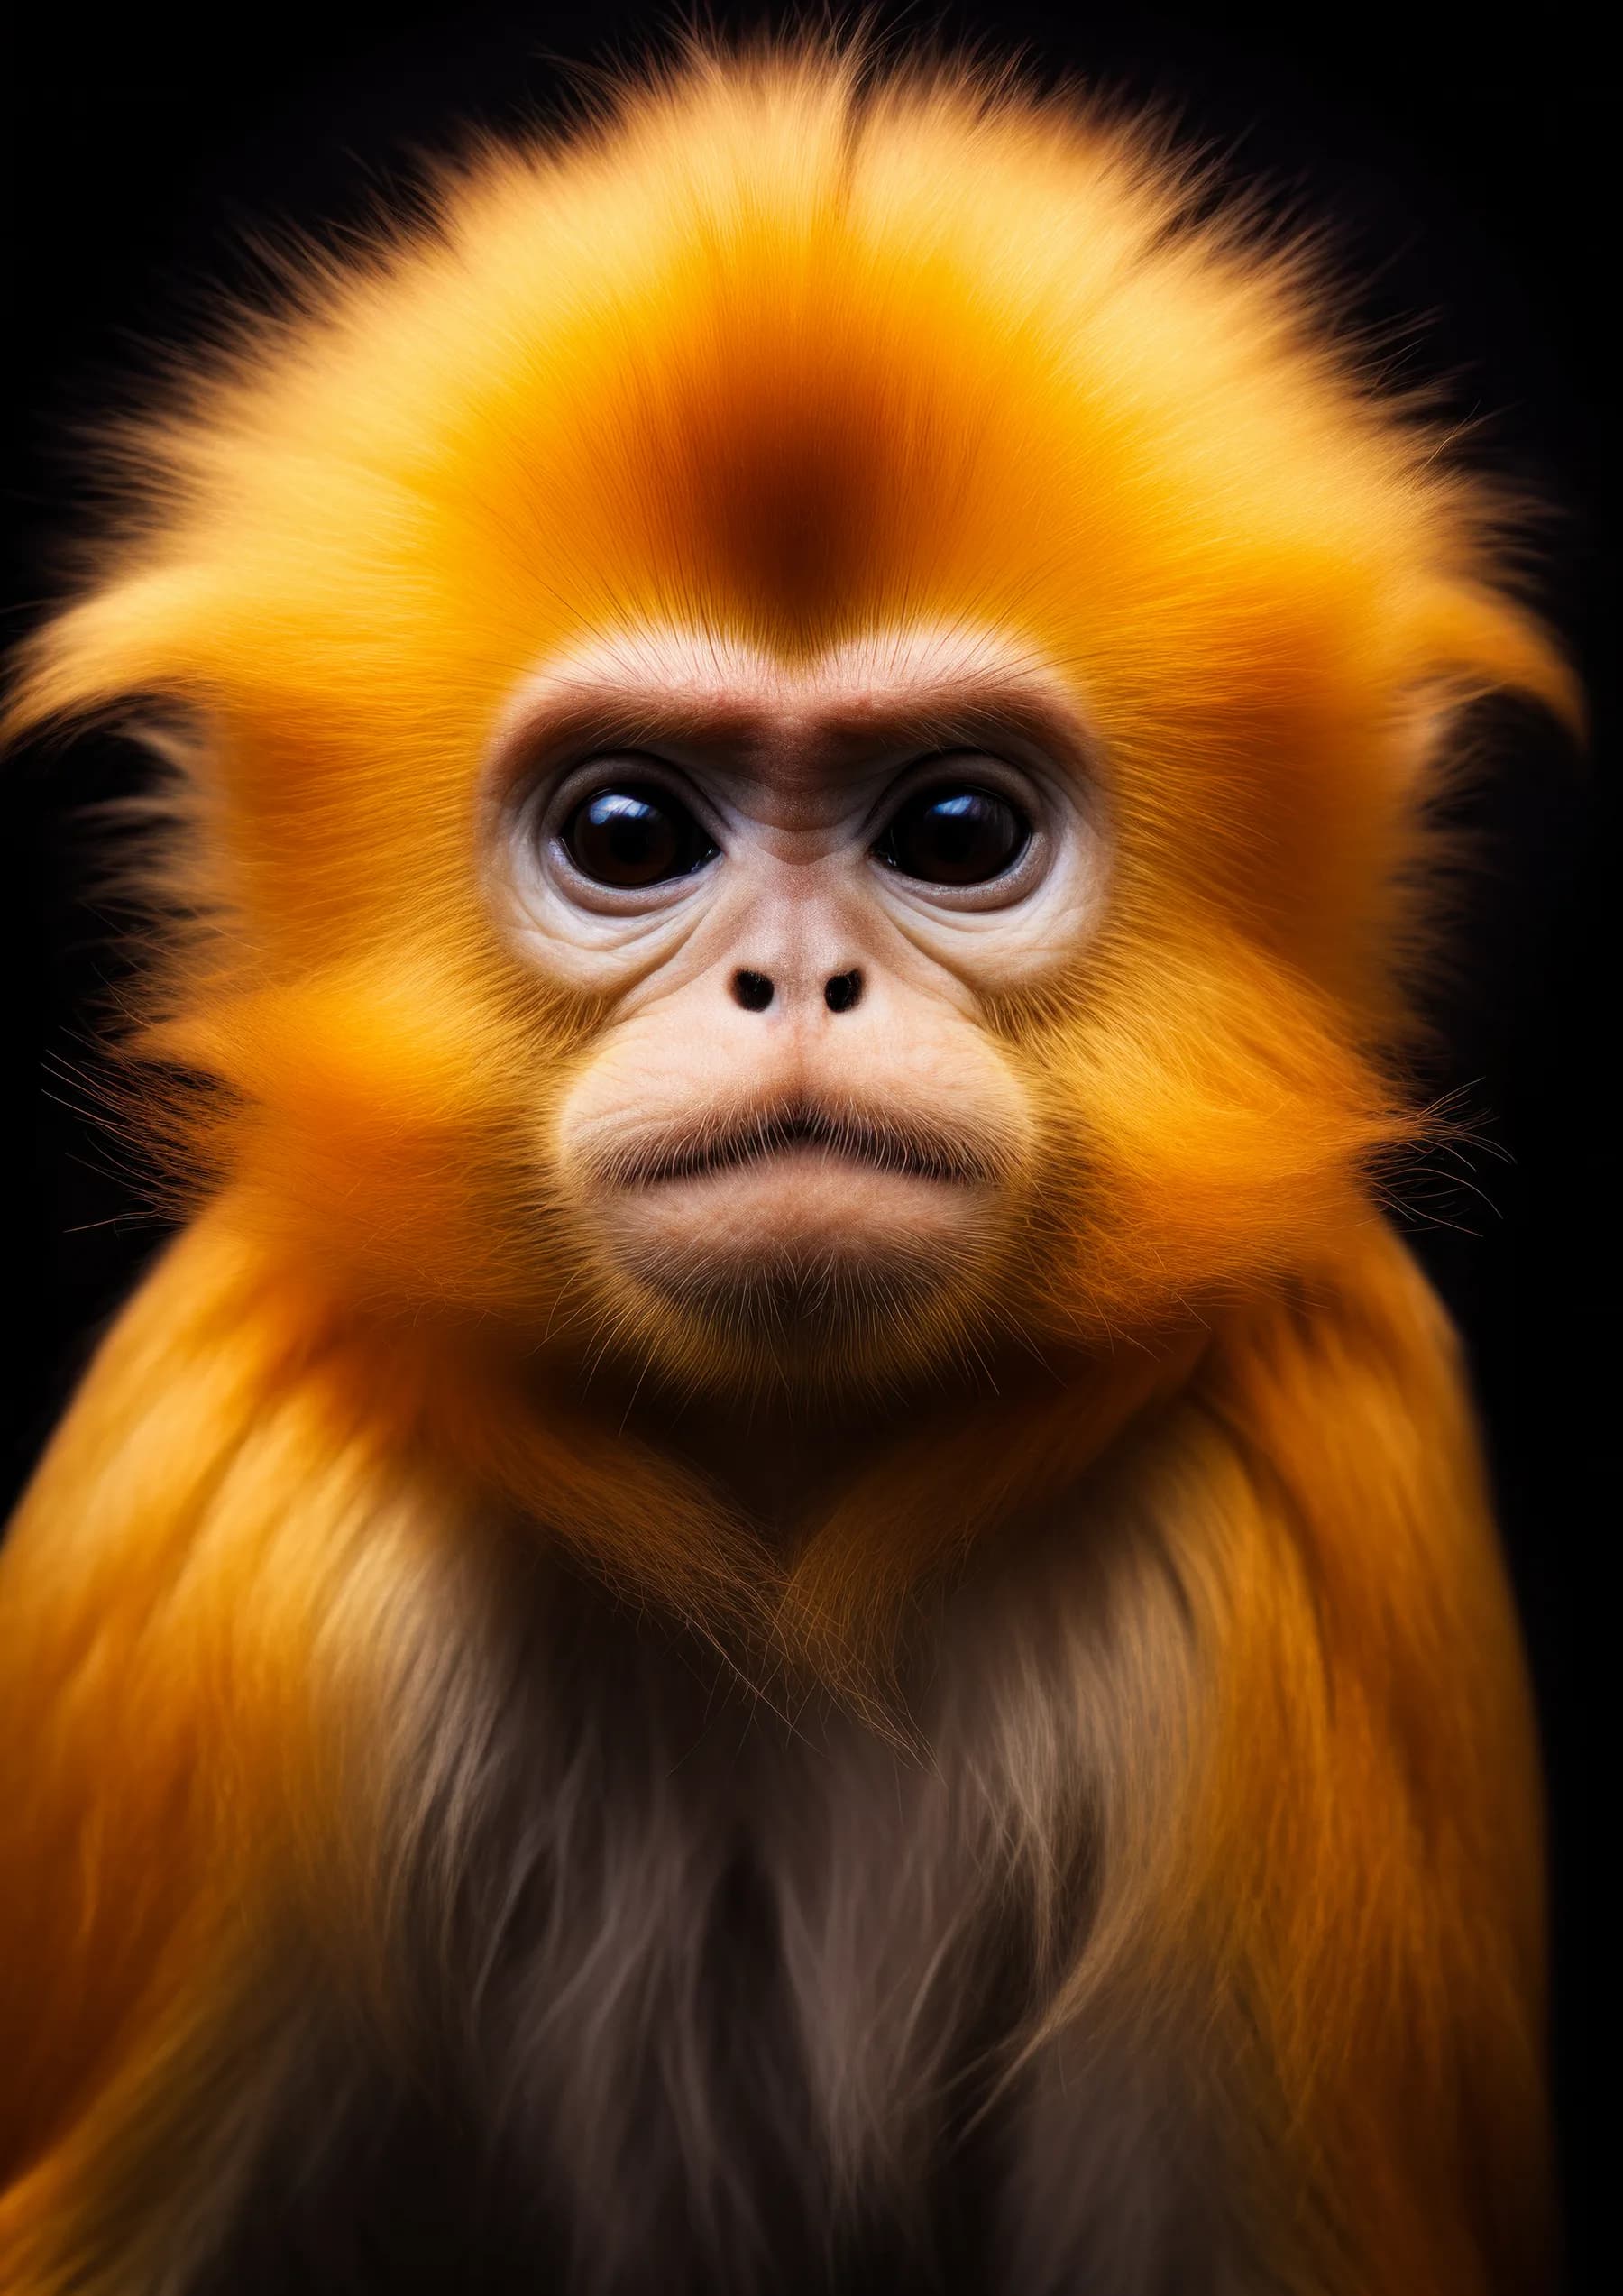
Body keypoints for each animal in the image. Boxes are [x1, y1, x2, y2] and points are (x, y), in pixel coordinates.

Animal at [0, 34, 1580, 2296]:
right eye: (630, 834)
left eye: (955, 831)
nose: (798, 983)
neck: (783, 1485)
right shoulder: (217, 1525)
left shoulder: (1329, 1483)